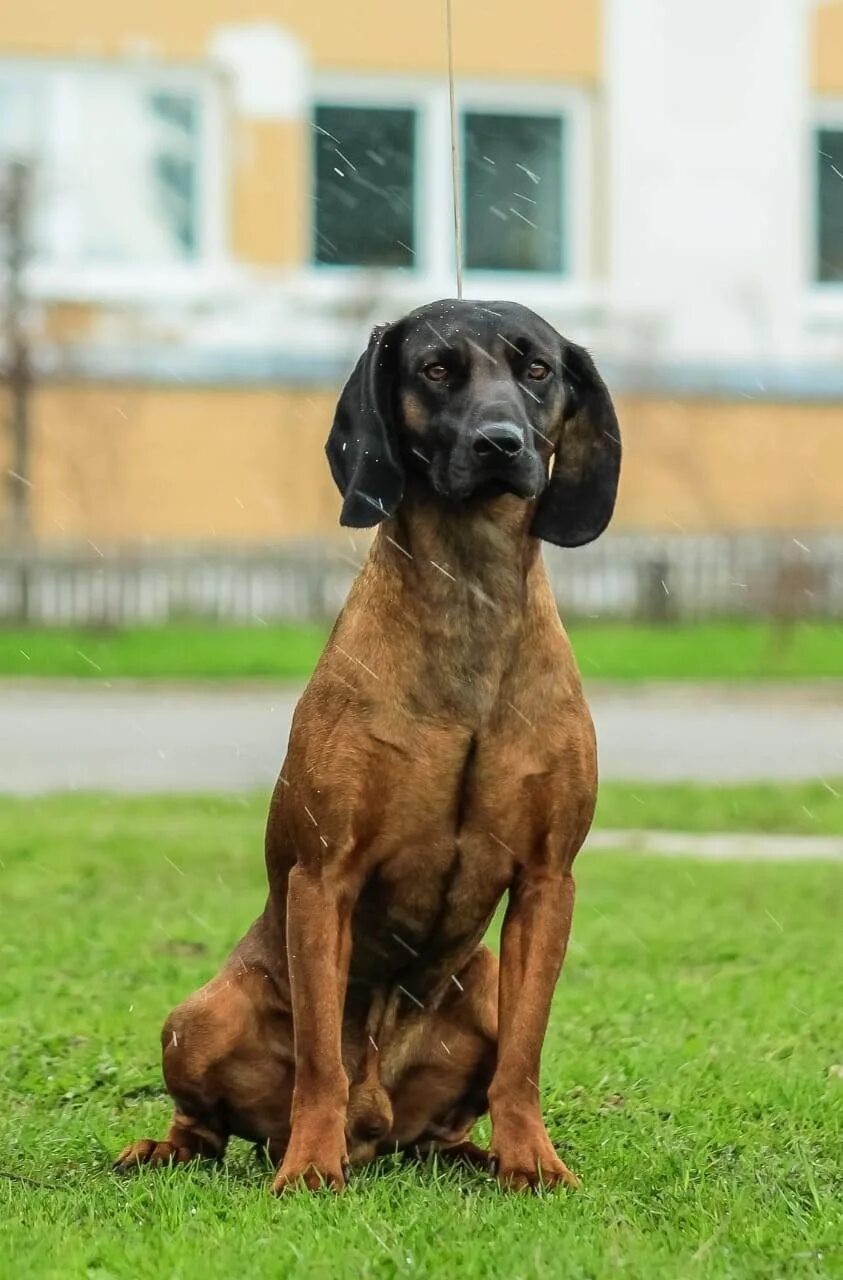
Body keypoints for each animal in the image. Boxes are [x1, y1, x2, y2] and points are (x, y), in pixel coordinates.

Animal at [115, 296, 619, 1187]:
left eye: (535, 369)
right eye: (436, 369)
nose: (500, 443)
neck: (470, 597)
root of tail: (378, 1123)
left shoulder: (546, 882)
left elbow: (522, 1061)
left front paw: (533, 1163)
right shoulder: (325, 878)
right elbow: (321, 1056)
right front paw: (311, 1169)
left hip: (481, 991)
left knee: (450, 1120)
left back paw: (476, 1154)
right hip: (200, 1015)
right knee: (206, 1123)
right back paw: (178, 1148)